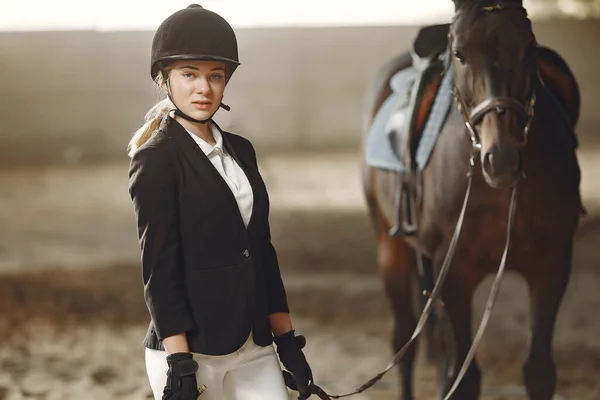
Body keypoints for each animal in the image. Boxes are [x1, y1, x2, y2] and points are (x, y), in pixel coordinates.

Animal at [360, 0, 584, 400]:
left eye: (528, 48)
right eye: (460, 54)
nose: (503, 158)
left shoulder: (553, 265)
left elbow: (539, 371)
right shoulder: (454, 275)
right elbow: (462, 378)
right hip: (391, 248)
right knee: (404, 341)